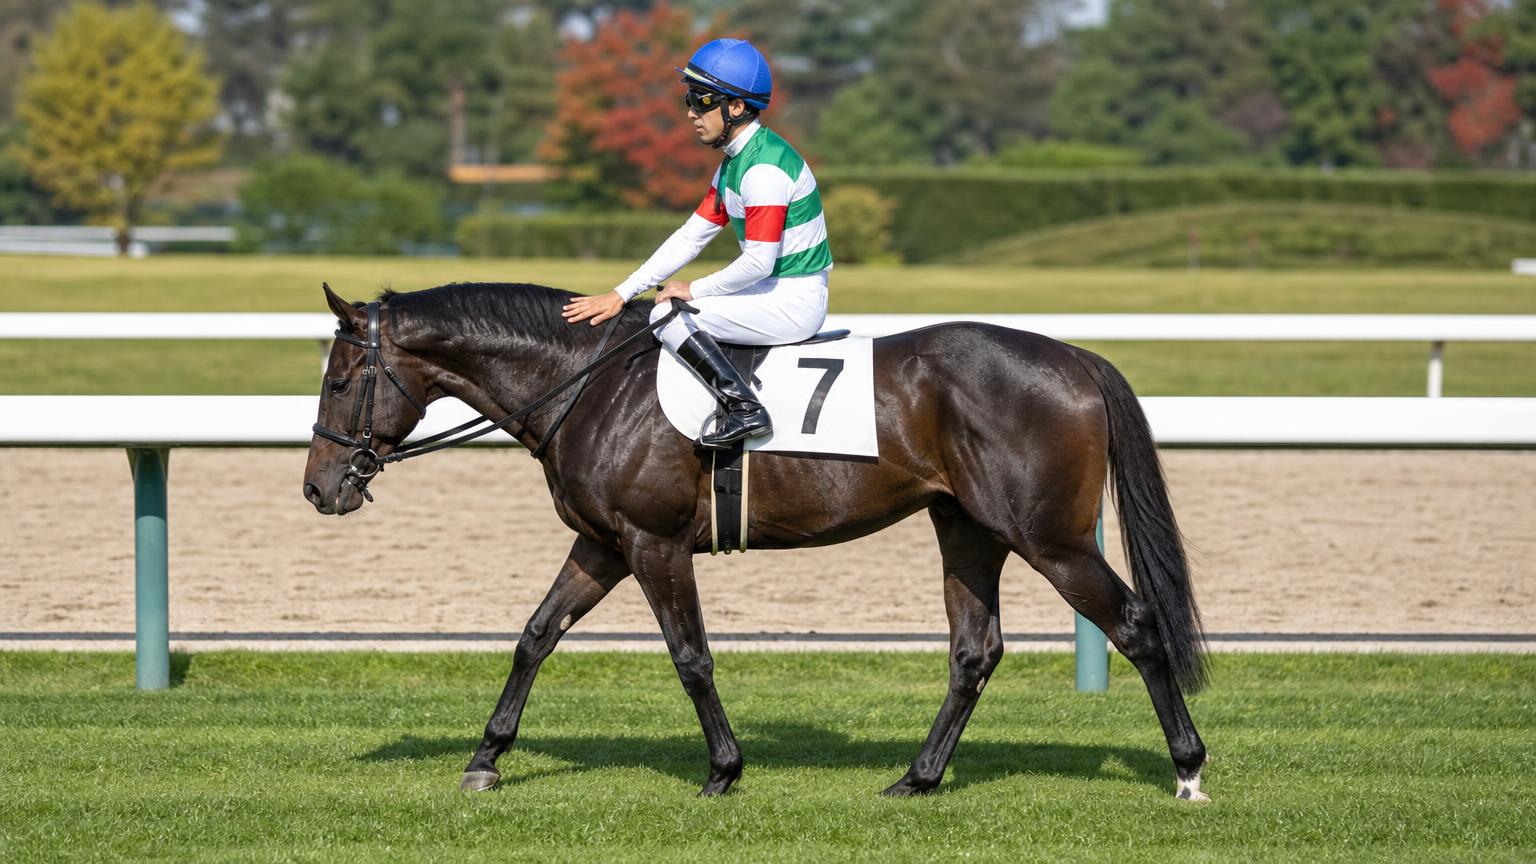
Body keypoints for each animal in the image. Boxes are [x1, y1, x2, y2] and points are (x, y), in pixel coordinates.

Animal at [302, 281, 1211, 801]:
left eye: (341, 380)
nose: (319, 488)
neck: (590, 383)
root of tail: (1076, 357)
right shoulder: (602, 545)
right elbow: (534, 636)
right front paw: (486, 758)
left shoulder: (653, 545)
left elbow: (690, 657)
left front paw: (723, 769)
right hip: (970, 531)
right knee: (974, 651)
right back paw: (917, 778)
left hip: (1049, 538)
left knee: (1136, 627)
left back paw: (1188, 767)